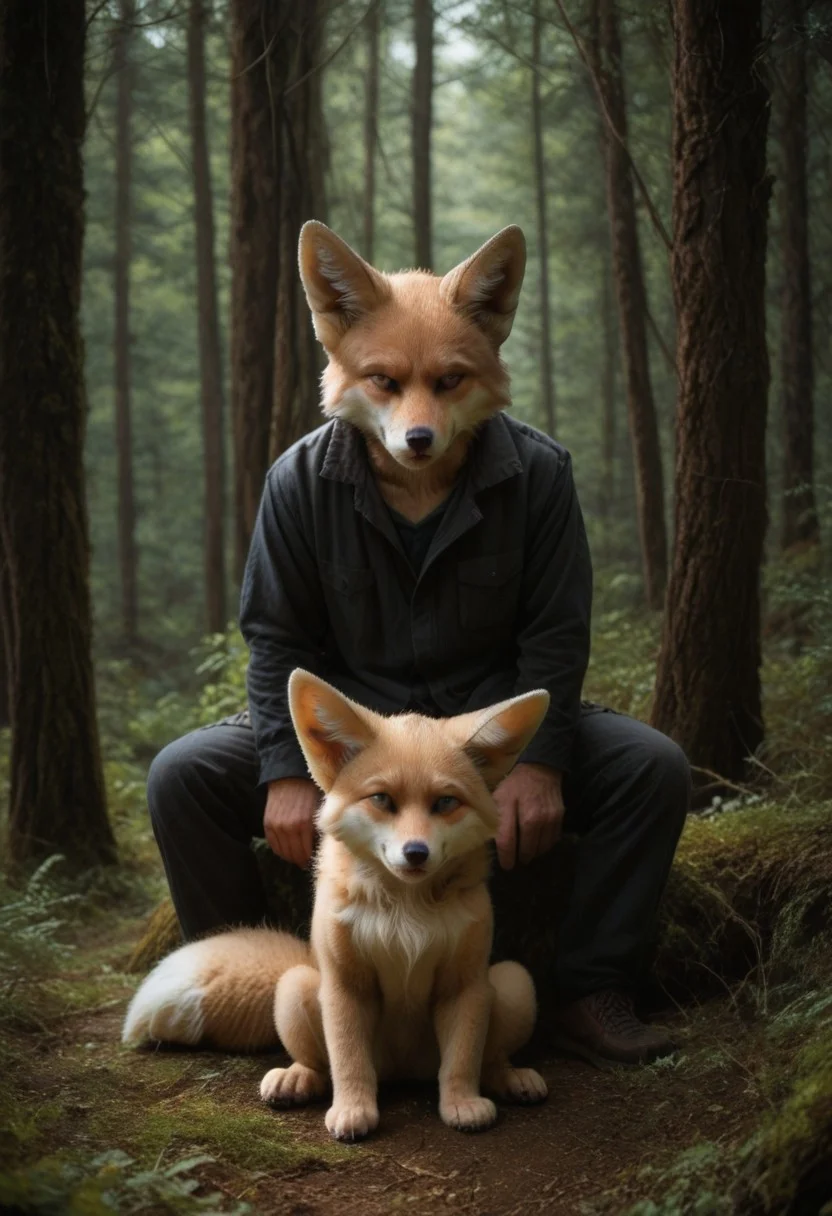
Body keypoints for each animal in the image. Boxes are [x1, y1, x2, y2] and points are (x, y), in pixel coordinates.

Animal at [123, 670, 551, 1141]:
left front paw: (461, 1104)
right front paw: (352, 1110)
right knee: (321, 1066)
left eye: (445, 803)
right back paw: (296, 1078)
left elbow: (462, 1061)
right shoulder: (346, 985)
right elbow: (348, 1062)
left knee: (489, 1058)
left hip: (514, 984)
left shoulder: (465, 985)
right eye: (382, 799)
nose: (415, 853)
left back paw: (510, 1078)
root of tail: (403, 1072)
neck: (406, 915)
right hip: (297, 987)